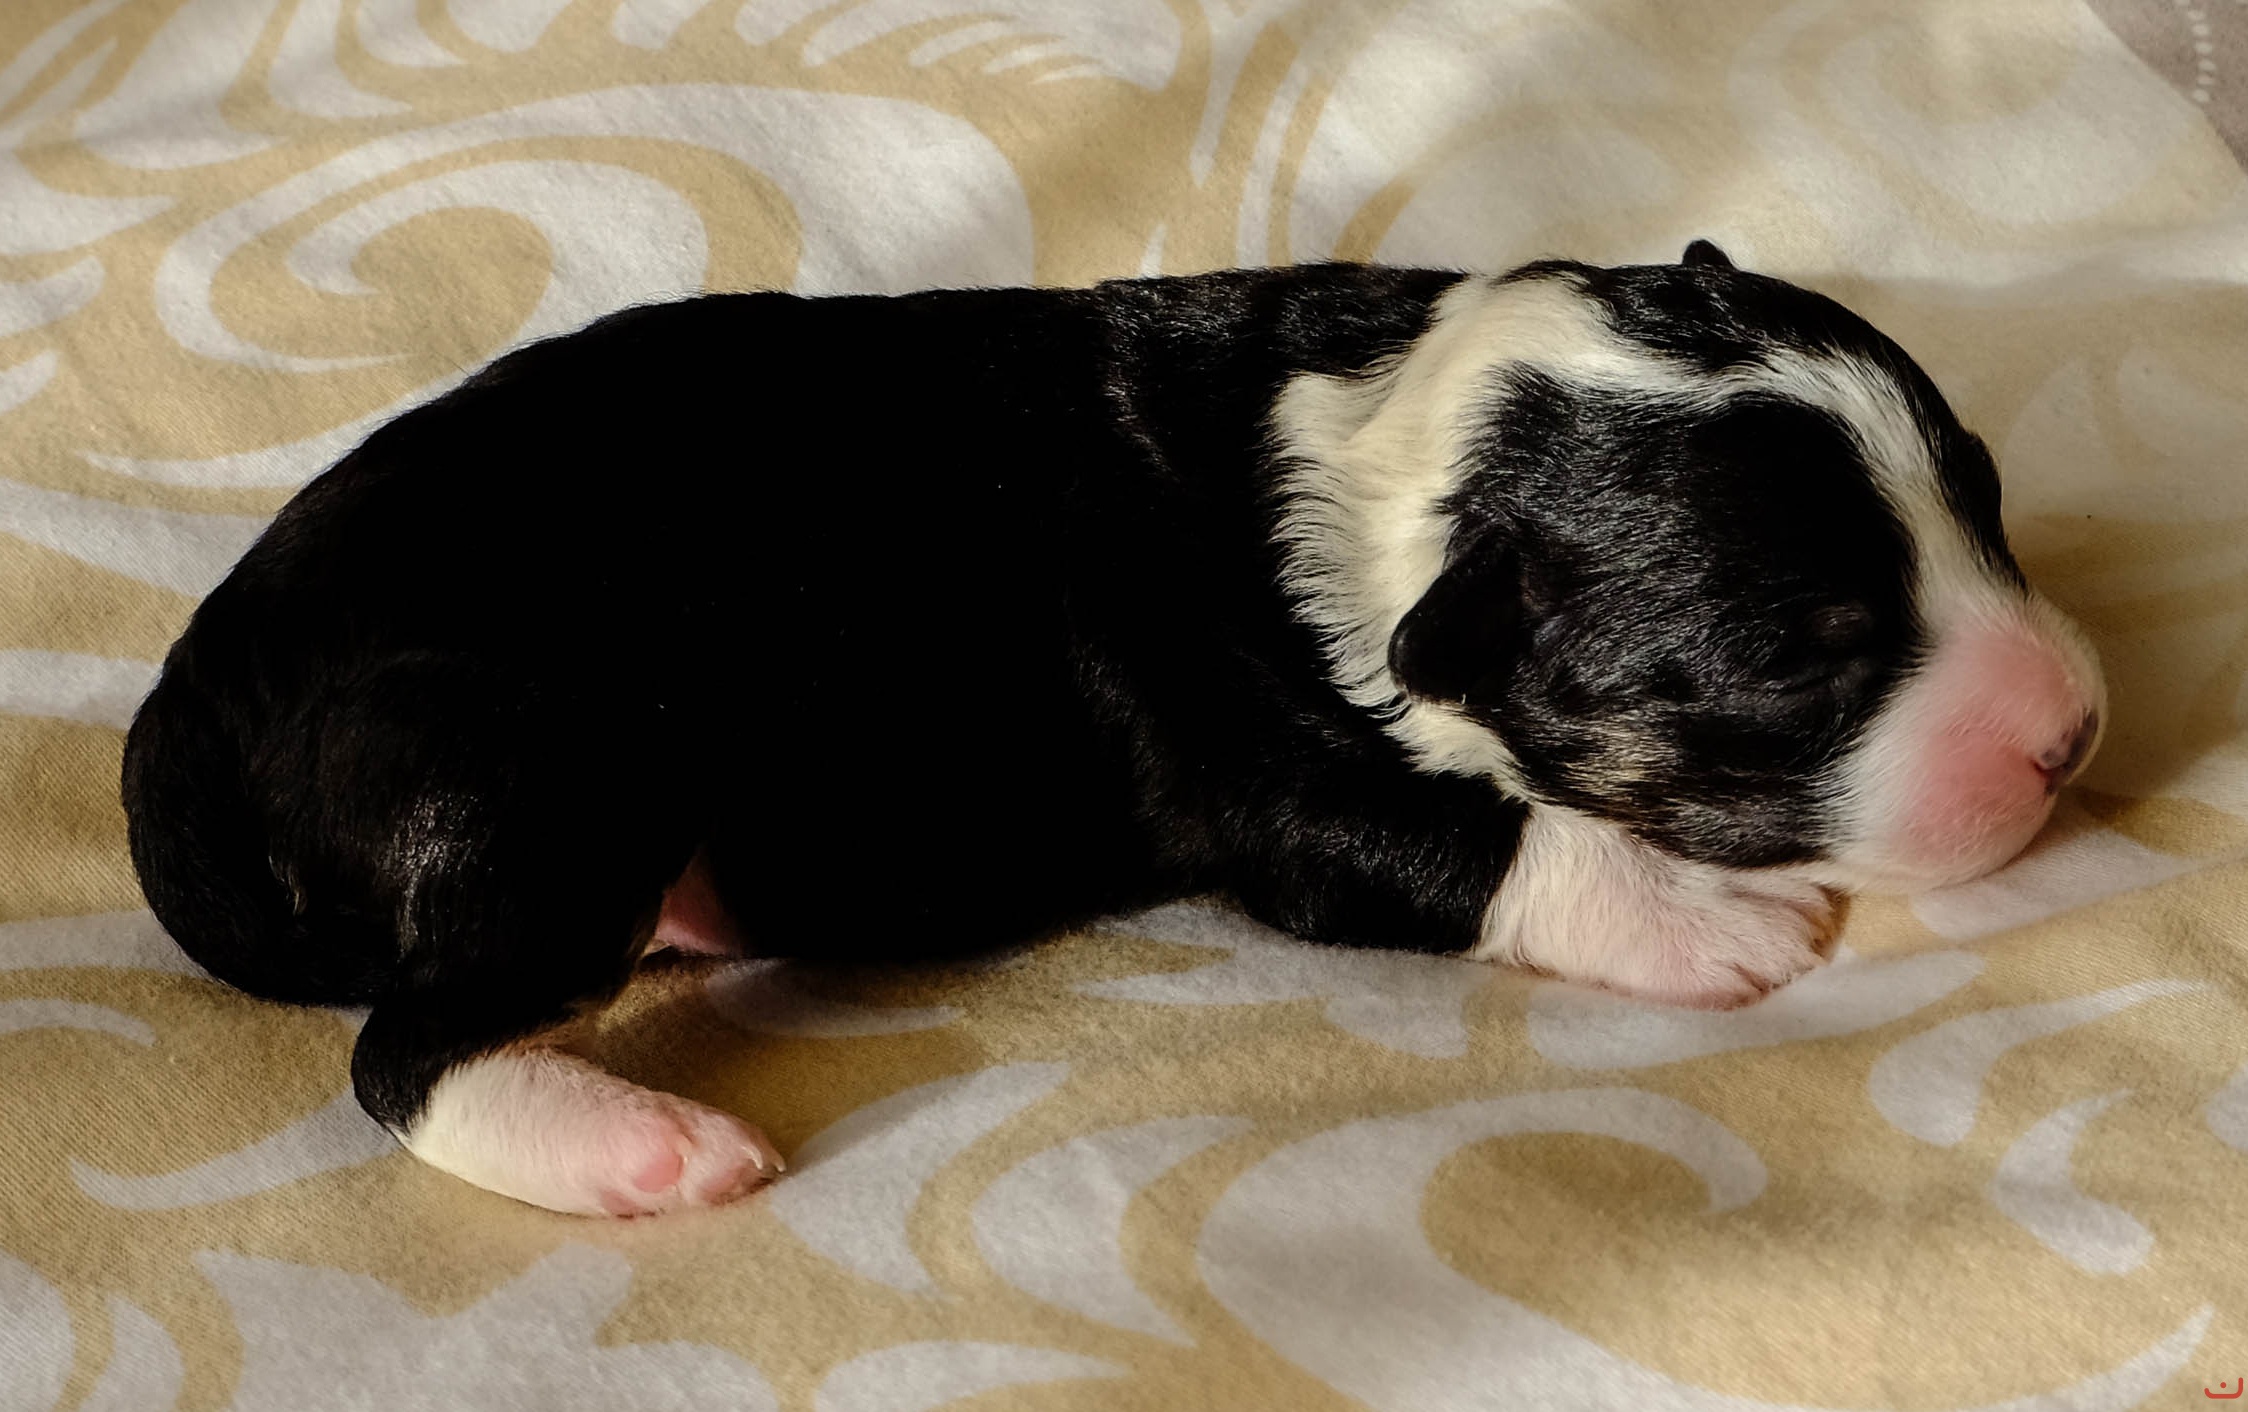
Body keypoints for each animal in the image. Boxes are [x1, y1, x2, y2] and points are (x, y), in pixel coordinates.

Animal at [122, 243, 2105, 1216]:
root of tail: (199, 689)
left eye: (1988, 502)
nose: (2073, 733)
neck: (1404, 449)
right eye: (1805, 664)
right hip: (542, 757)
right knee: (409, 1047)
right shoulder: (1245, 744)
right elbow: (1463, 838)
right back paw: (633, 1148)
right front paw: (1706, 918)